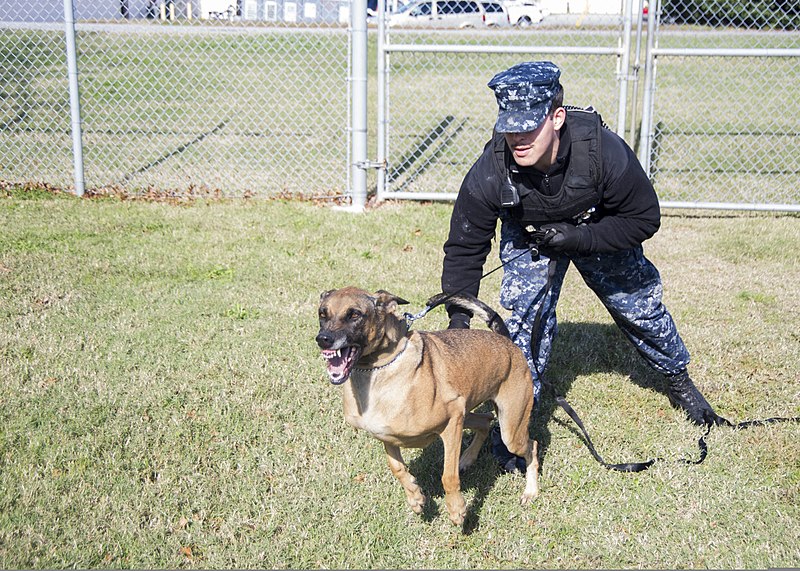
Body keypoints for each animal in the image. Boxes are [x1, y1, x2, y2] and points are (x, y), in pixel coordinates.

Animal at [314, 288, 536, 524]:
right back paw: (467, 459)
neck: (378, 370)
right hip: (470, 415)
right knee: (485, 421)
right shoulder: (386, 435)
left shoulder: (452, 420)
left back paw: (530, 491)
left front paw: (456, 509)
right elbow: (397, 468)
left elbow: (448, 475)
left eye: (355, 314)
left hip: (510, 428)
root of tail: (506, 341)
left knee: (532, 445)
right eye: (322, 314)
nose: (323, 339)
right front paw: (415, 497)